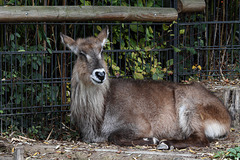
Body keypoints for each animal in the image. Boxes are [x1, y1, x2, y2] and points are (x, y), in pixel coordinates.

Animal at [60, 26, 231, 149]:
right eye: (81, 53)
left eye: (101, 50)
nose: (101, 74)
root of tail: (226, 115)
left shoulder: (142, 125)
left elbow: (113, 137)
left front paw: (153, 139)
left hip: (189, 107)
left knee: (201, 139)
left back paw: (166, 143)